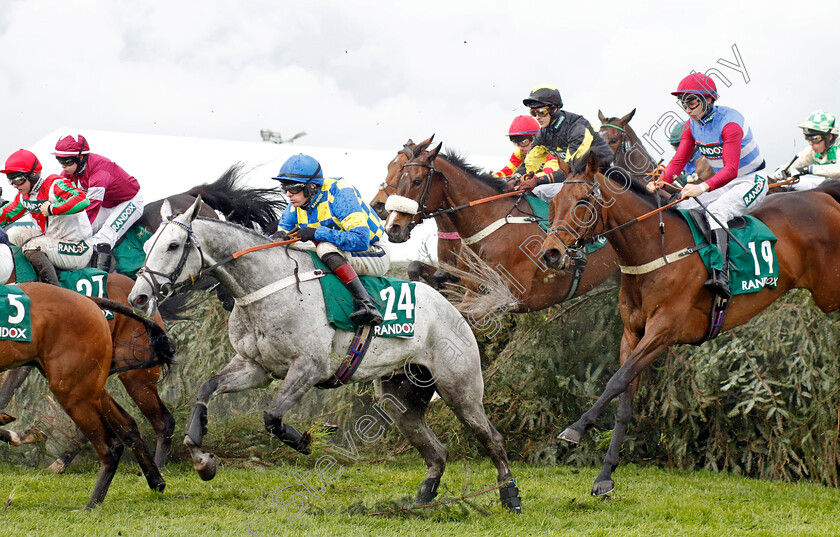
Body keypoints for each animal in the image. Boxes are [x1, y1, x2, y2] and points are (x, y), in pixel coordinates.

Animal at [128, 196, 520, 510]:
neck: (266, 286)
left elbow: (272, 416)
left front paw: (302, 441)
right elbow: (208, 388)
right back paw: (422, 500)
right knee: (436, 451)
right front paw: (201, 456)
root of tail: (451, 306)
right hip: (401, 399)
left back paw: (510, 496)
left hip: (459, 389)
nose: (139, 297)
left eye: (174, 245)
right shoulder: (255, 367)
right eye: (147, 246)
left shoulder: (309, 367)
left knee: (492, 439)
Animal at [540, 150, 840, 494]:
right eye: (552, 202)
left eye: (582, 202)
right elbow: (625, 397)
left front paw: (575, 429)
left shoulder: (663, 331)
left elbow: (616, 380)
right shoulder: (632, 334)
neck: (656, 251)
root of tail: (823, 195)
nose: (551, 253)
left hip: (829, 291)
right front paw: (605, 475)